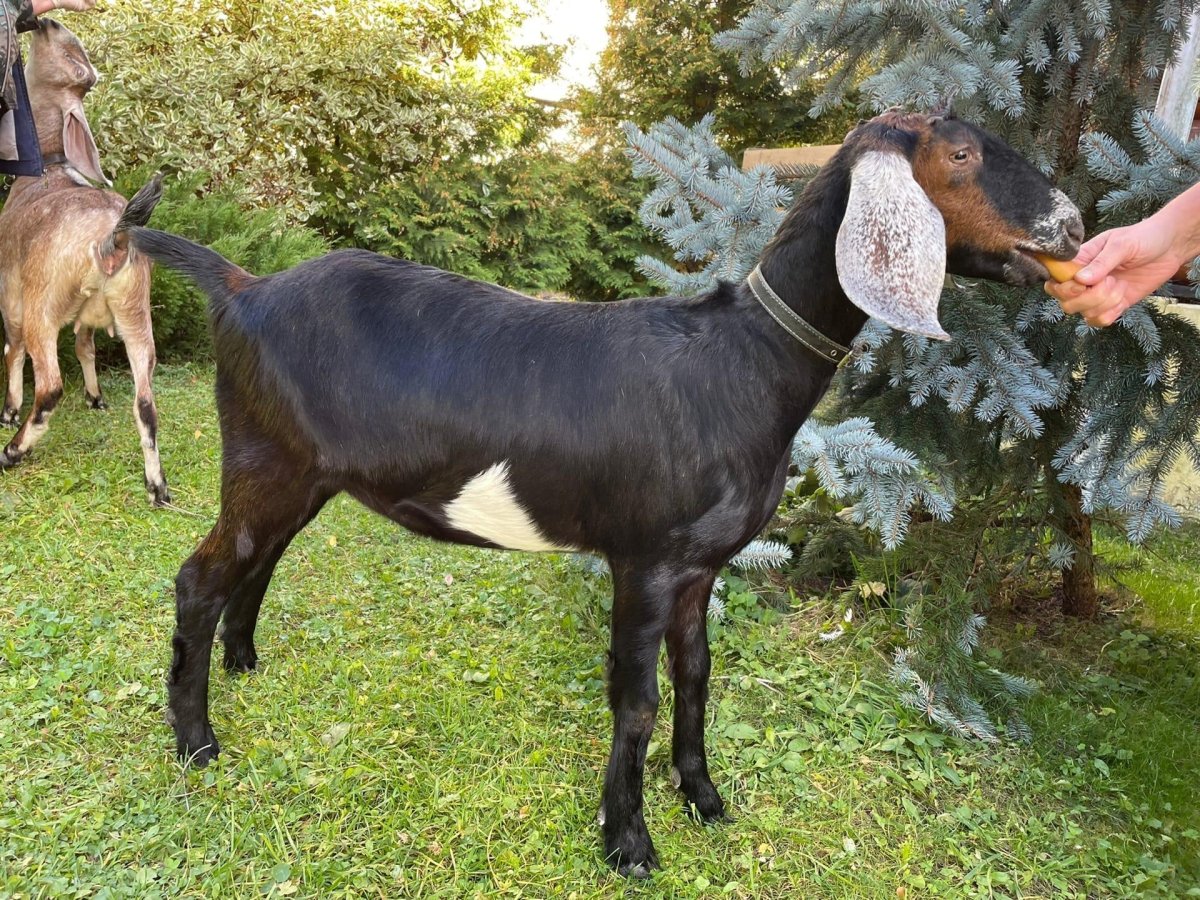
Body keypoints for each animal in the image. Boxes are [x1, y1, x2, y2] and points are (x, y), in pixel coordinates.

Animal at [0, 18, 168, 504]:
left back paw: (13, 450)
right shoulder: (88, 317)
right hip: (136, 312)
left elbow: (12, 349)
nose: (45, 19)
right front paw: (94, 397)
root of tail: (112, 238)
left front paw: (9, 409)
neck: (48, 170)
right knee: (145, 401)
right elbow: (86, 344)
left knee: (49, 383)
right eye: (85, 72)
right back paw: (157, 486)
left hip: (42, 305)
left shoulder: (11, 292)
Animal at [131, 111, 1083, 877]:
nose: (1072, 227)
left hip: (300, 474)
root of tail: (243, 287)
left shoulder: (702, 565)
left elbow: (696, 674)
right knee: (199, 578)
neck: (745, 361)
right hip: (265, 460)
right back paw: (197, 743)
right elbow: (638, 698)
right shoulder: (646, 558)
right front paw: (627, 841)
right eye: (960, 154)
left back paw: (244, 662)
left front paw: (703, 796)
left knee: (257, 563)